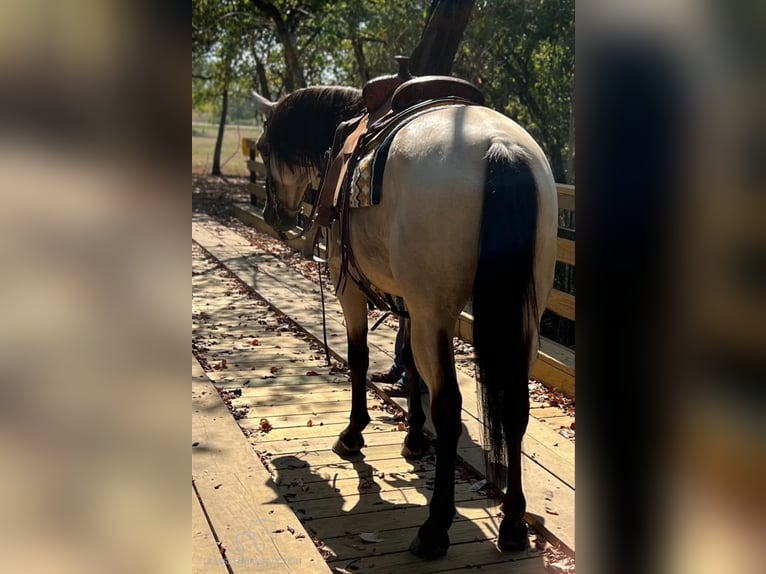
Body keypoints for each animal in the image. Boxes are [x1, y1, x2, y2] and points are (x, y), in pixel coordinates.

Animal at [252, 65, 560, 560]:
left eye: (263, 148)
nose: (273, 214)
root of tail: (500, 147)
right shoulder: (409, 304)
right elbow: (411, 366)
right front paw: (414, 439)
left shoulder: (350, 289)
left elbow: (359, 360)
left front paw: (353, 433)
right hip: (523, 318)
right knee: (514, 405)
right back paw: (512, 522)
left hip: (437, 311)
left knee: (450, 408)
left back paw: (436, 528)